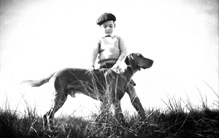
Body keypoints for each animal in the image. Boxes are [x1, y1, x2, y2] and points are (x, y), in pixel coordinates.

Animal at [21, 52, 152, 129]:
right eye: (140, 56)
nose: (153, 61)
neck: (122, 74)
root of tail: (55, 72)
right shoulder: (113, 100)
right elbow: (119, 116)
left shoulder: (112, 101)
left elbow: (112, 115)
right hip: (59, 97)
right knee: (48, 115)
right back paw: (51, 130)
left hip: (60, 98)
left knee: (47, 115)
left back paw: (49, 130)